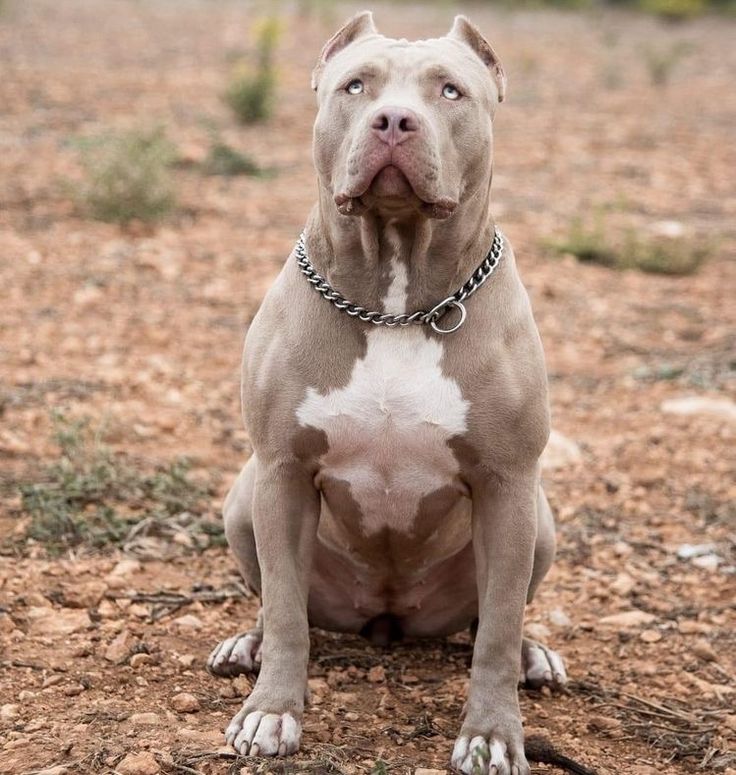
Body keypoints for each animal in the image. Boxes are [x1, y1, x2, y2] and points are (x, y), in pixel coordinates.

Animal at [207, 13, 568, 775]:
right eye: (356, 85)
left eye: (451, 90)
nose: (395, 120)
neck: (396, 301)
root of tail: (389, 618)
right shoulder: (282, 471)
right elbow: (286, 611)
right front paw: (271, 712)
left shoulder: (507, 482)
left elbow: (496, 630)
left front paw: (493, 733)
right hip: (242, 498)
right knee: (276, 603)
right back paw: (246, 644)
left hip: (540, 518)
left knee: (498, 615)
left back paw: (533, 655)